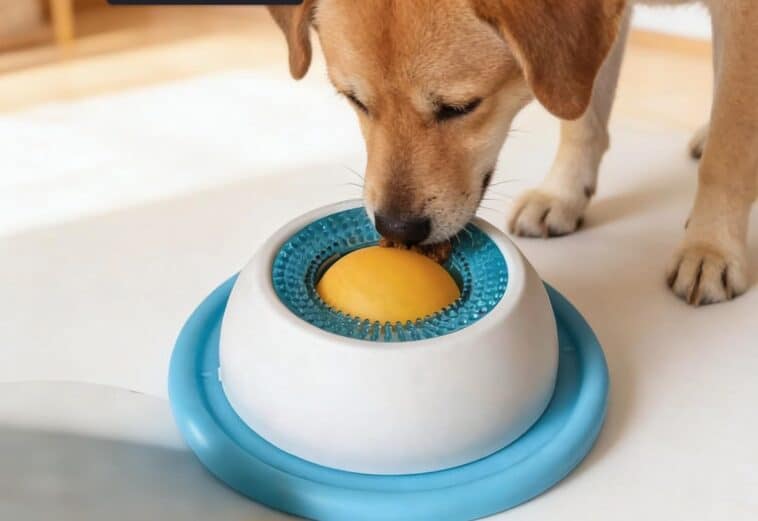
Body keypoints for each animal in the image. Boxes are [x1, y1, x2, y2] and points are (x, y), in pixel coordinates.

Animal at [268, 0, 757, 306]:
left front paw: (711, 246)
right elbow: (581, 118)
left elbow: (728, 152)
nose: (397, 229)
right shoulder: (590, 41)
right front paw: (563, 195)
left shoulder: (740, 16)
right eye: (354, 100)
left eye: (460, 108)